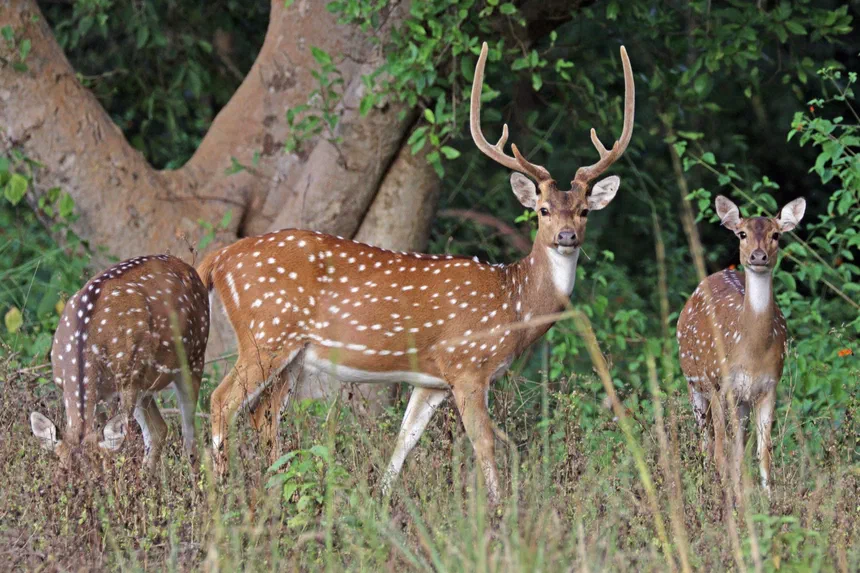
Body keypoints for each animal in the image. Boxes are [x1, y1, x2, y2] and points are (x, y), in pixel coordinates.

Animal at [30, 255, 210, 470]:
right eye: (62, 471)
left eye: (97, 473)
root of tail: (188, 267)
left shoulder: (127, 380)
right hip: (143, 383)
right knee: (159, 429)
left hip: (194, 356)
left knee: (190, 434)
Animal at [196, 41, 634, 504]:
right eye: (543, 210)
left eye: (584, 211)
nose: (567, 236)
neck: (513, 304)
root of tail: (219, 259)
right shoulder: (467, 365)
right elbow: (486, 444)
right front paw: (499, 511)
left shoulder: (432, 381)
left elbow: (403, 443)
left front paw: (382, 503)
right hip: (265, 333)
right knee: (221, 400)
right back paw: (221, 495)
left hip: (292, 353)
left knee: (264, 414)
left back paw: (278, 493)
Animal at [677, 195, 806, 495]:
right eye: (742, 234)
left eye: (776, 235)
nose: (758, 256)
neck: (751, 353)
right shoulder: (721, 384)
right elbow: (723, 450)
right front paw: (730, 498)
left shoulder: (769, 387)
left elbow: (762, 452)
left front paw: (767, 498)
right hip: (696, 383)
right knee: (707, 442)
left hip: (741, 400)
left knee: (734, 445)